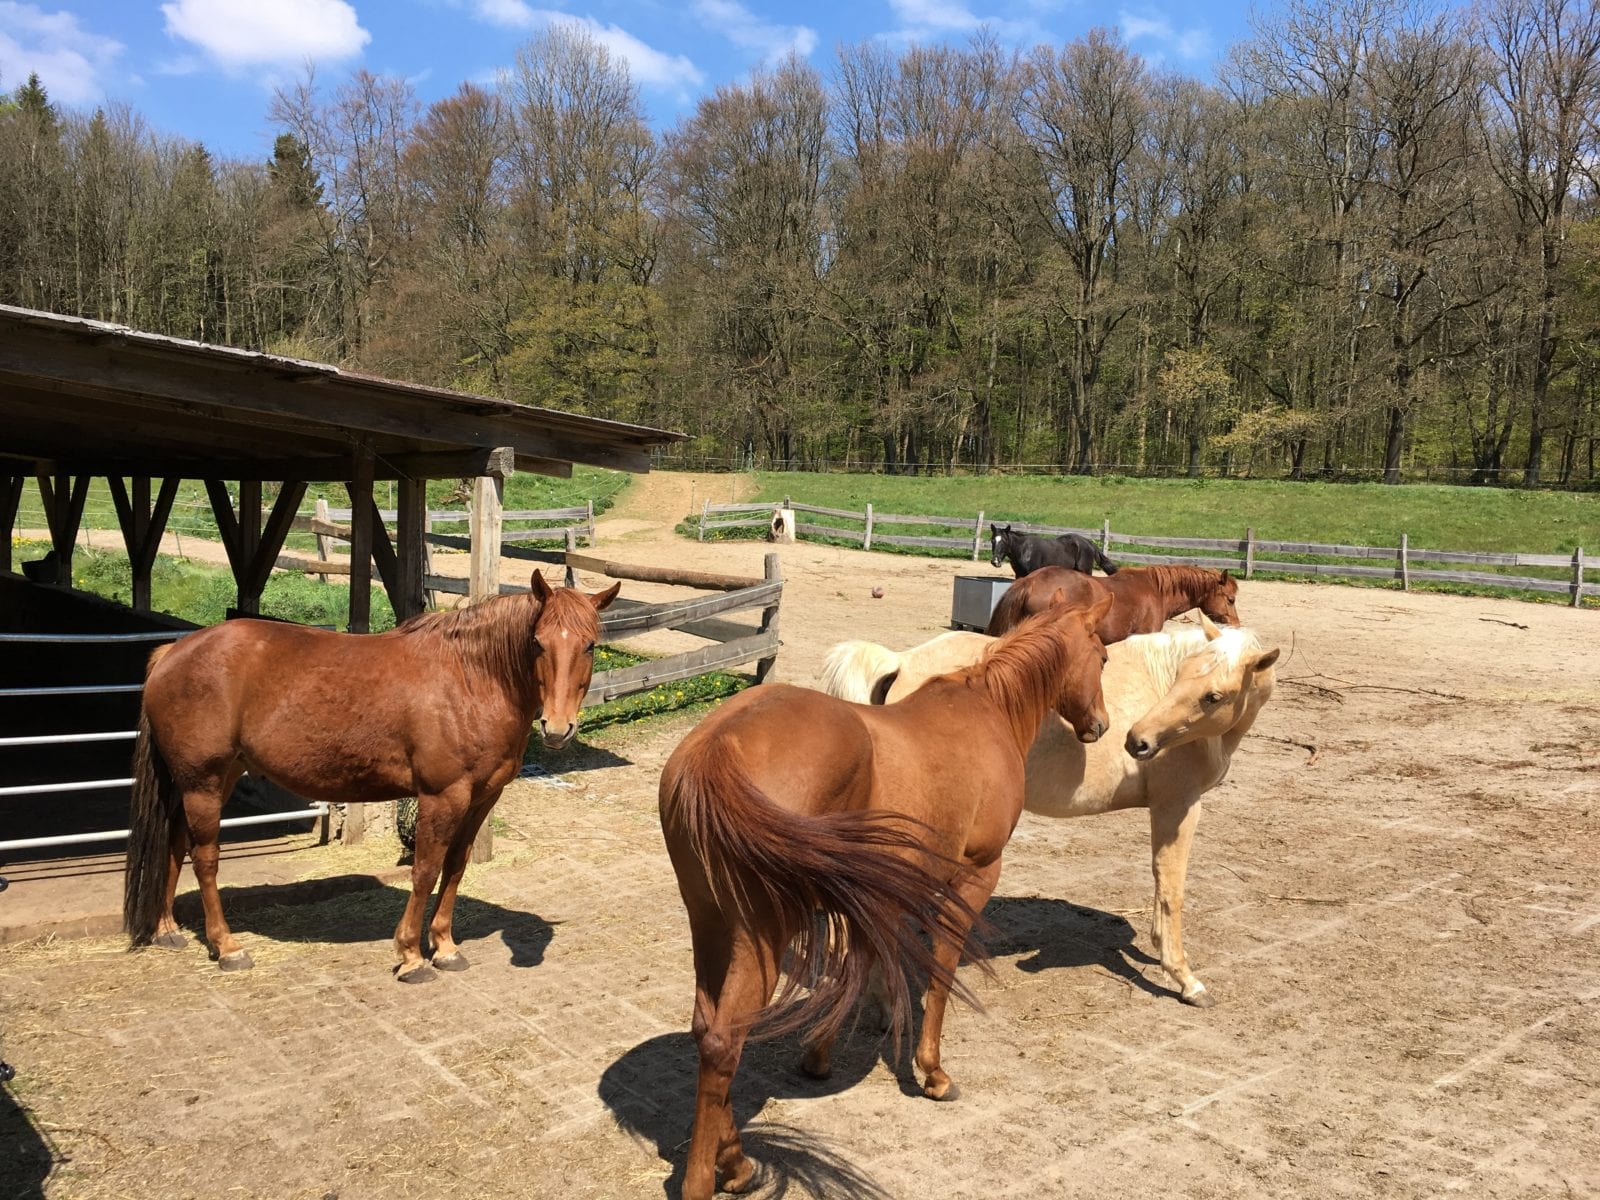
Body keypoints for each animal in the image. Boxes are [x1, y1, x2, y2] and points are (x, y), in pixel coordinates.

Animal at [123, 572, 620, 982]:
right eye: (538, 642)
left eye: (589, 645)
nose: (556, 729)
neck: (470, 679)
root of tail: (173, 651)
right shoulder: (442, 796)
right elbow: (425, 869)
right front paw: (412, 956)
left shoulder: (481, 798)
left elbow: (456, 868)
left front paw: (445, 947)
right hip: (203, 782)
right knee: (205, 859)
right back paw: (227, 947)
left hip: (207, 779)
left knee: (174, 842)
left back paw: (167, 929)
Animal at [658, 594, 1114, 1200]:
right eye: (1102, 656)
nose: (1100, 725)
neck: (986, 709)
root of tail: (717, 748)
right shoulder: (974, 876)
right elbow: (941, 972)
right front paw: (933, 1072)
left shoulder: (880, 893)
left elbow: (863, 962)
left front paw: (822, 1052)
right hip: (760, 935)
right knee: (722, 1042)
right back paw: (711, 1177)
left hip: (710, 925)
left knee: (704, 1029)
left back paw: (735, 1163)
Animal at [819, 615, 1278, 1009]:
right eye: (1182, 676)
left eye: (1212, 695)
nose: (1138, 741)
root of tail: (901, 661)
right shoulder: (1178, 807)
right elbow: (1171, 888)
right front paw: (1186, 979)